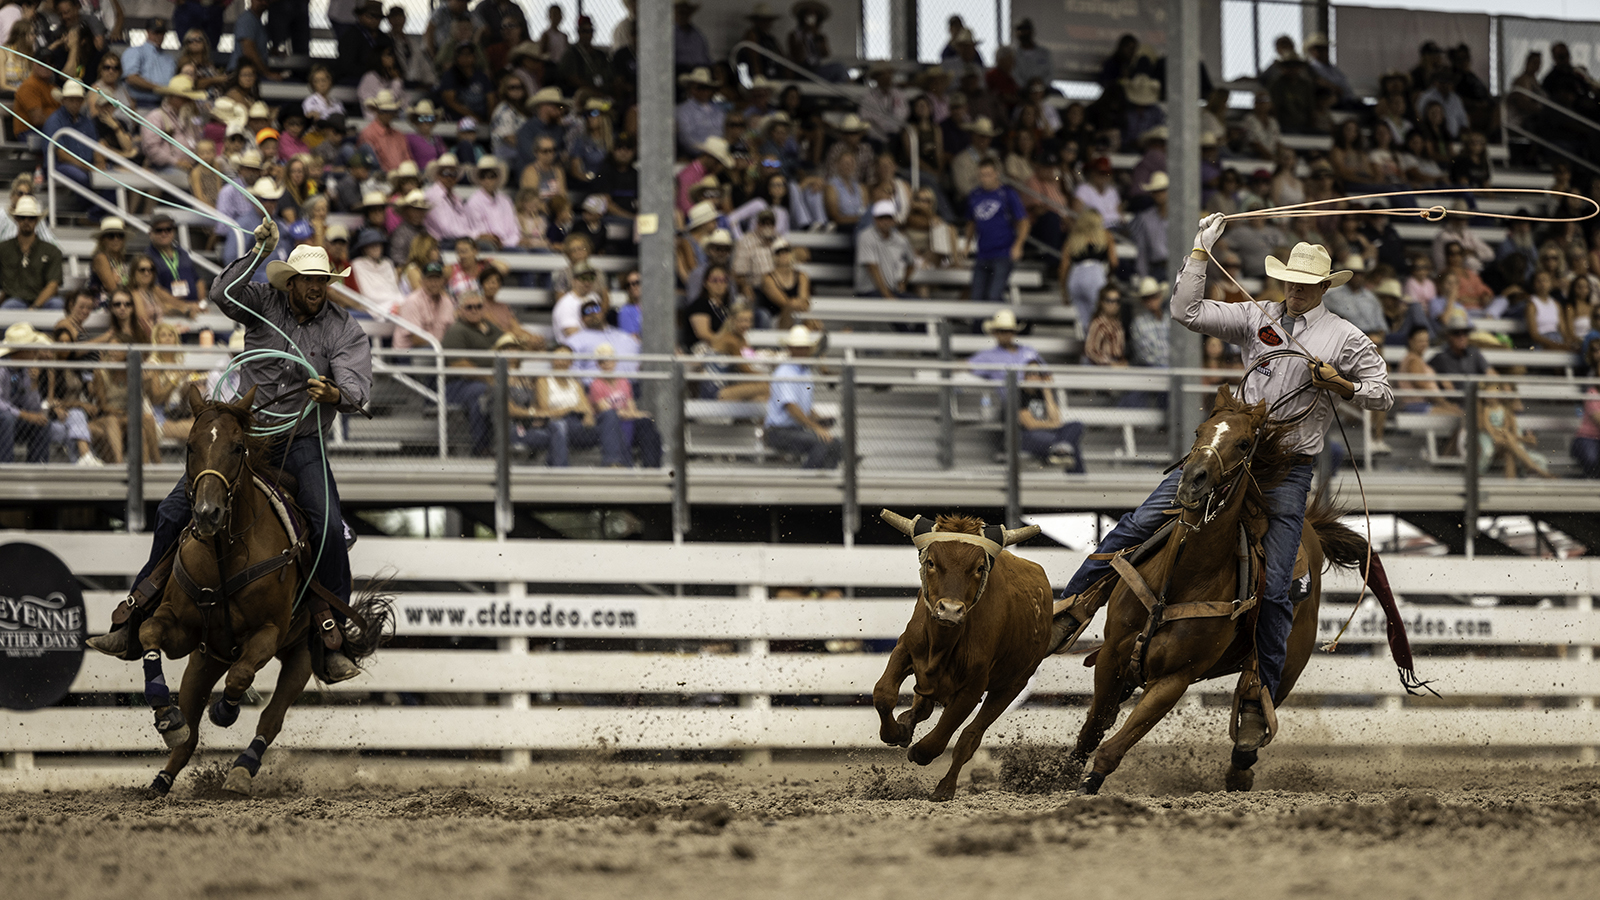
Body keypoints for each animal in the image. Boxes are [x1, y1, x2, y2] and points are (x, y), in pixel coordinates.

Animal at [138, 381, 393, 794]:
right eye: (190, 446)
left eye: (237, 447)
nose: (207, 514)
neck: (224, 556)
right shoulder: (181, 630)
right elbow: (149, 632)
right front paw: (164, 711)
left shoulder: (269, 633)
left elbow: (241, 676)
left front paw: (225, 710)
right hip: (205, 659)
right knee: (190, 731)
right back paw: (162, 778)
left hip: (303, 654)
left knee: (270, 719)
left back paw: (241, 770)